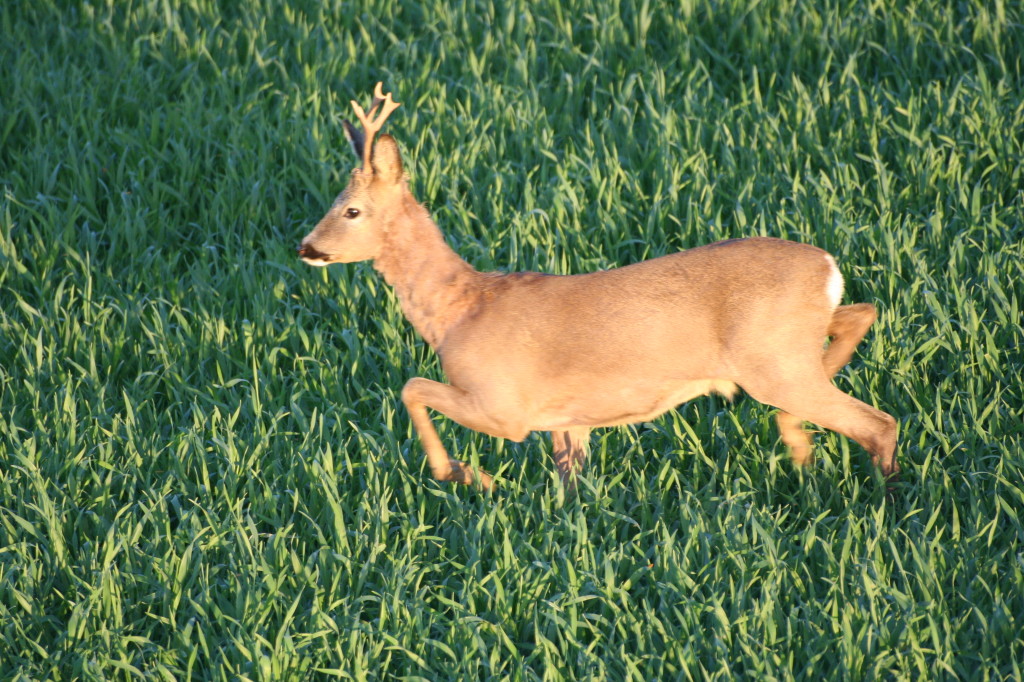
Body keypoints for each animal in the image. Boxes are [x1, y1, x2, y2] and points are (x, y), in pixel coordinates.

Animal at [296, 83, 897, 489]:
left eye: (351, 210)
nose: (306, 247)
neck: (460, 309)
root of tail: (827, 265)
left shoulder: (504, 406)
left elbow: (412, 388)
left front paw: (467, 475)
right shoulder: (567, 423)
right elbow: (570, 489)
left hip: (772, 360)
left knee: (879, 422)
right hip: (792, 345)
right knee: (860, 316)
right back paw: (799, 444)